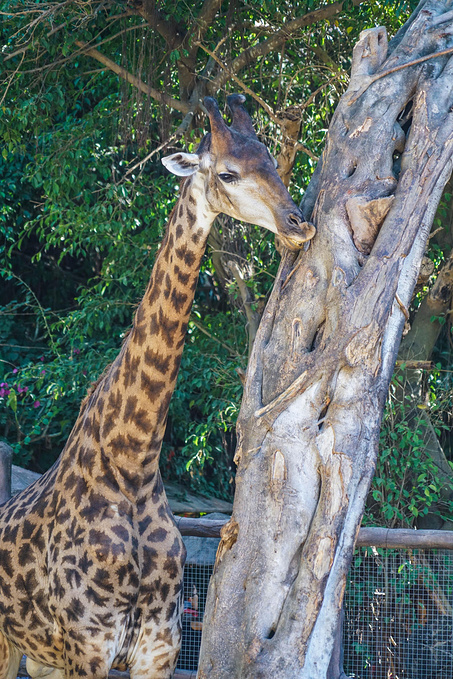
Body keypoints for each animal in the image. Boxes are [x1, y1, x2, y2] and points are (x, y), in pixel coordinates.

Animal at [0, 93, 314, 676]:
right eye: (228, 173)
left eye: (270, 160)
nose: (299, 223)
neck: (134, 464)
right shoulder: (89, 648)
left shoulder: (157, 650)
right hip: (11, 642)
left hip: (41, 654)